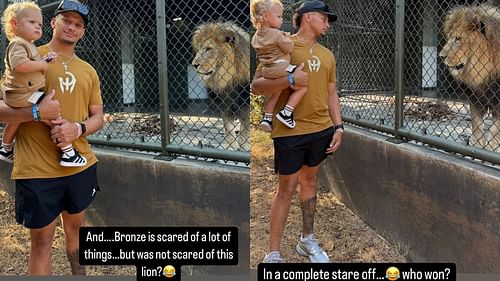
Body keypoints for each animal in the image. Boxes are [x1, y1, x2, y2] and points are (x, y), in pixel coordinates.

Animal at [191, 21, 250, 151]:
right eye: (198, 49)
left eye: (208, 49)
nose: (194, 65)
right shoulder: (224, 106)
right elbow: (228, 128)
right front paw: (231, 148)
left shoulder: (246, 106)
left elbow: (244, 130)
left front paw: (244, 148)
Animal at [442, 3, 500, 151]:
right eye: (450, 37)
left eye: (457, 38)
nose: (441, 56)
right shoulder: (475, 97)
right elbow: (476, 123)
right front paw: (477, 145)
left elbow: (495, 128)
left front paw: (492, 147)